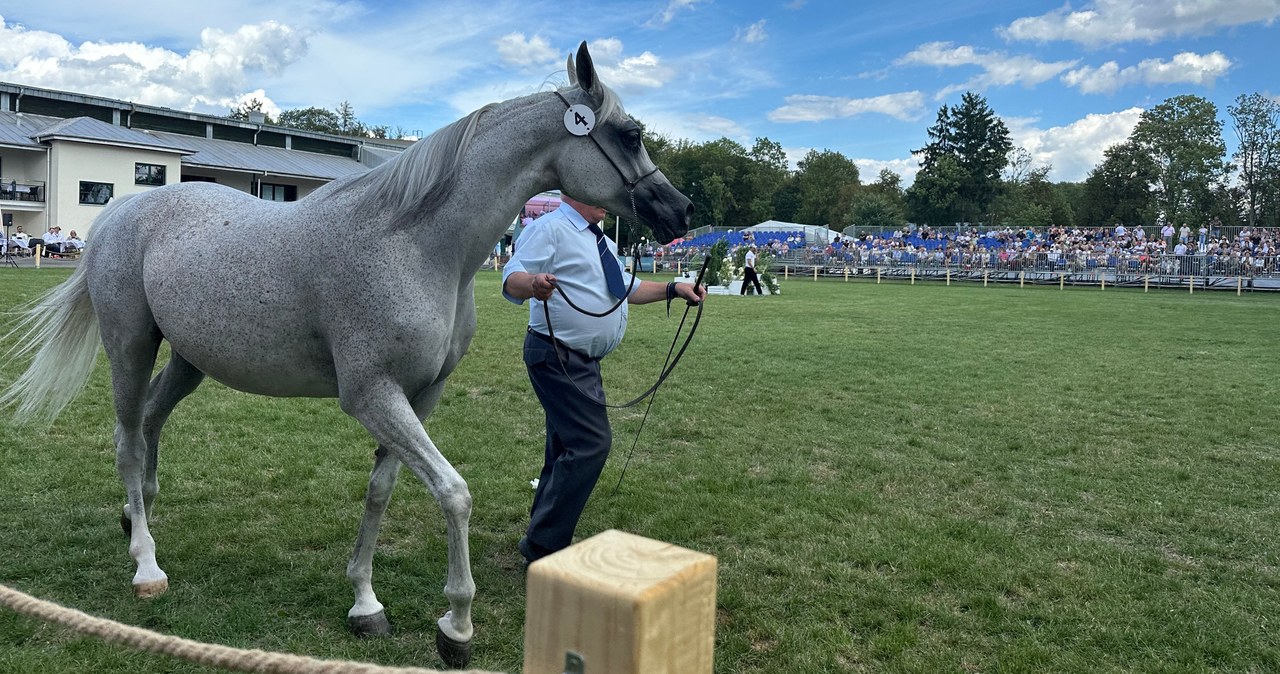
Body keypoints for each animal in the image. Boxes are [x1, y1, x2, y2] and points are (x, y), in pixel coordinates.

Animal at [2, 43, 691, 670]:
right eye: (629, 134)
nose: (678, 210)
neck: (414, 245)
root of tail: (123, 209)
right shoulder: (372, 395)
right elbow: (453, 492)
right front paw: (456, 625)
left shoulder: (419, 395)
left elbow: (381, 491)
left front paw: (365, 602)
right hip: (130, 345)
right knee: (126, 438)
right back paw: (146, 563)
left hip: (189, 362)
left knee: (149, 424)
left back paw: (135, 513)